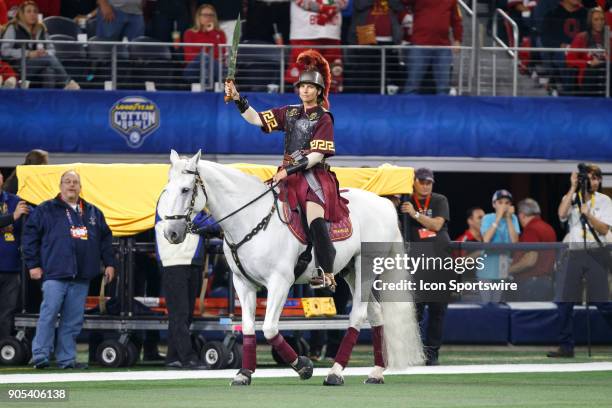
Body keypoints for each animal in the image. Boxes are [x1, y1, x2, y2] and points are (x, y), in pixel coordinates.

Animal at [160, 151, 424, 386]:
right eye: (166, 190)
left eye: (185, 190)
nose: (171, 233)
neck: (251, 218)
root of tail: (384, 203)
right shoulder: (242, 283)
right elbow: (247, 327)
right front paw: (244, 373)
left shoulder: (280, 282)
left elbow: (268, 328)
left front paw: (304, 366)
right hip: (351, 271)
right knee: (376, 314)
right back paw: (376, 372)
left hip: (366, 268)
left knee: (358, 315)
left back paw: (335, 373)